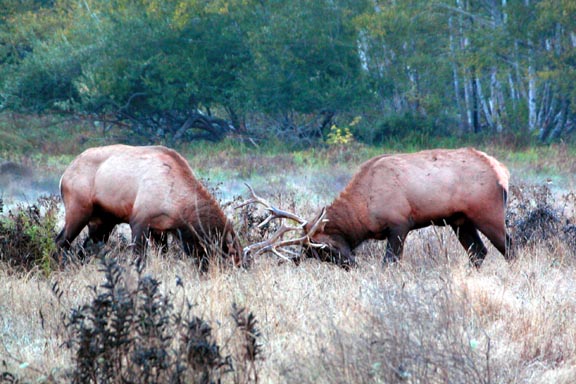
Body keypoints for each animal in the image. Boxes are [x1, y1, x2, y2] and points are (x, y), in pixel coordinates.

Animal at [55, 144, 242, 268]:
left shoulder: (160, 230)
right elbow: (139, 257)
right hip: (78, 211)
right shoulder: (139, 220)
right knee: (61, 241)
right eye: (230, 259)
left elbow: (163, 254)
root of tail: (64, 175)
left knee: (85, 249)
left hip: (103, 221)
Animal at [238, 147, 512, 268]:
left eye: (325, 247)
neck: (363, 215)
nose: (352, 265)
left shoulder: (400, 224)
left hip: (487, 212)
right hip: (459, 220)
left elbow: (389, 262)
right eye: (317, 255)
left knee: (509, 247)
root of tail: (502, 171)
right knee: (479, 253)